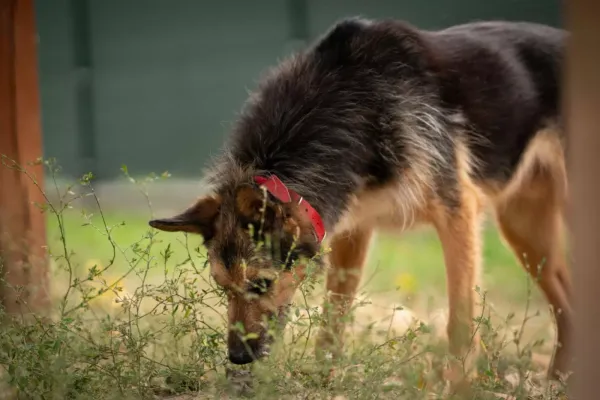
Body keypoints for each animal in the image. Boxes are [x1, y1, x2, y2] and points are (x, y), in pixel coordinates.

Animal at [150, 16, 572, 384]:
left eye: (261, 284)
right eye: (222, 287)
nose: (237, 358)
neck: (354, 99)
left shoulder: (458, 214)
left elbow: (460, 321)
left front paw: (459, 387)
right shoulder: (351, 231)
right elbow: (333, 317)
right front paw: (324, 379)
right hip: (527, 237)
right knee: (568, 306)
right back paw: (558, 380)